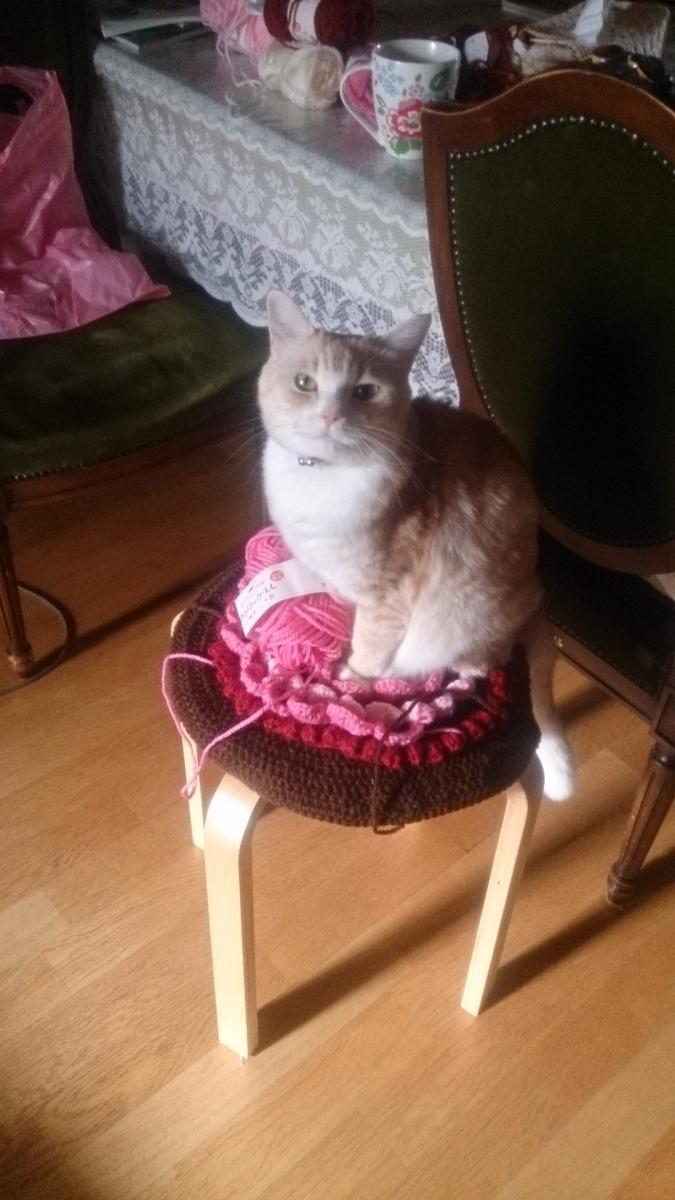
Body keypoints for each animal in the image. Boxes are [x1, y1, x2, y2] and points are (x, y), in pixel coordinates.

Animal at [257, 290, 574, 801]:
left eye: (365, 392)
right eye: (305, 383)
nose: (330, 415)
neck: (324, 476)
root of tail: (537, 601)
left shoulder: (387, 596)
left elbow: (368, 645)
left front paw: (351, 678)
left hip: (465, 621)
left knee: (471, 664)